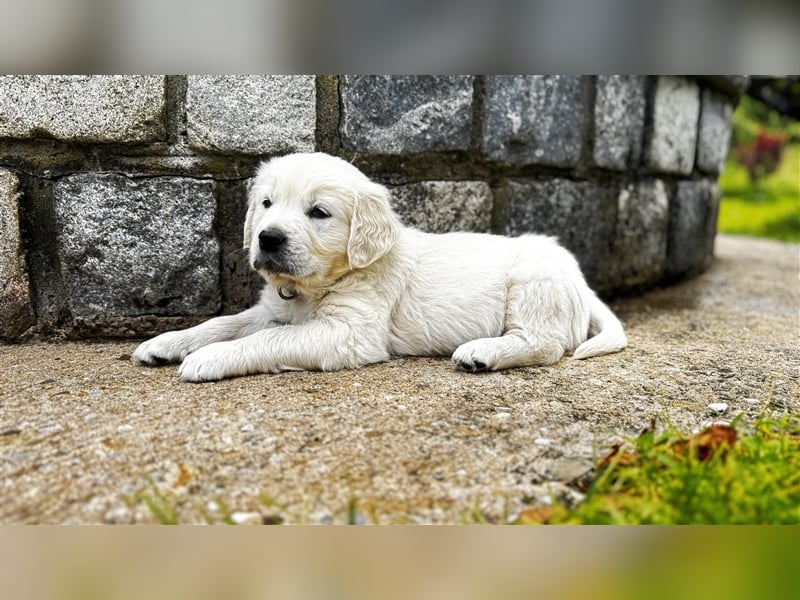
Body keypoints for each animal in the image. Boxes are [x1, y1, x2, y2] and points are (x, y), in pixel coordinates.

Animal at [134, 152, 628, 382]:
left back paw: (481, 353)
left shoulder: (349, 332)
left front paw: (208, 358)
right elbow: (225, 322)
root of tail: (580, 281)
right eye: (267, 204)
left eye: (319, 213)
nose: (268, 238)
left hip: (532, 284)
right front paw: (168, 342)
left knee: (544, 345)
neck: (317, 285)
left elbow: (269, 340)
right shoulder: (272, 308)